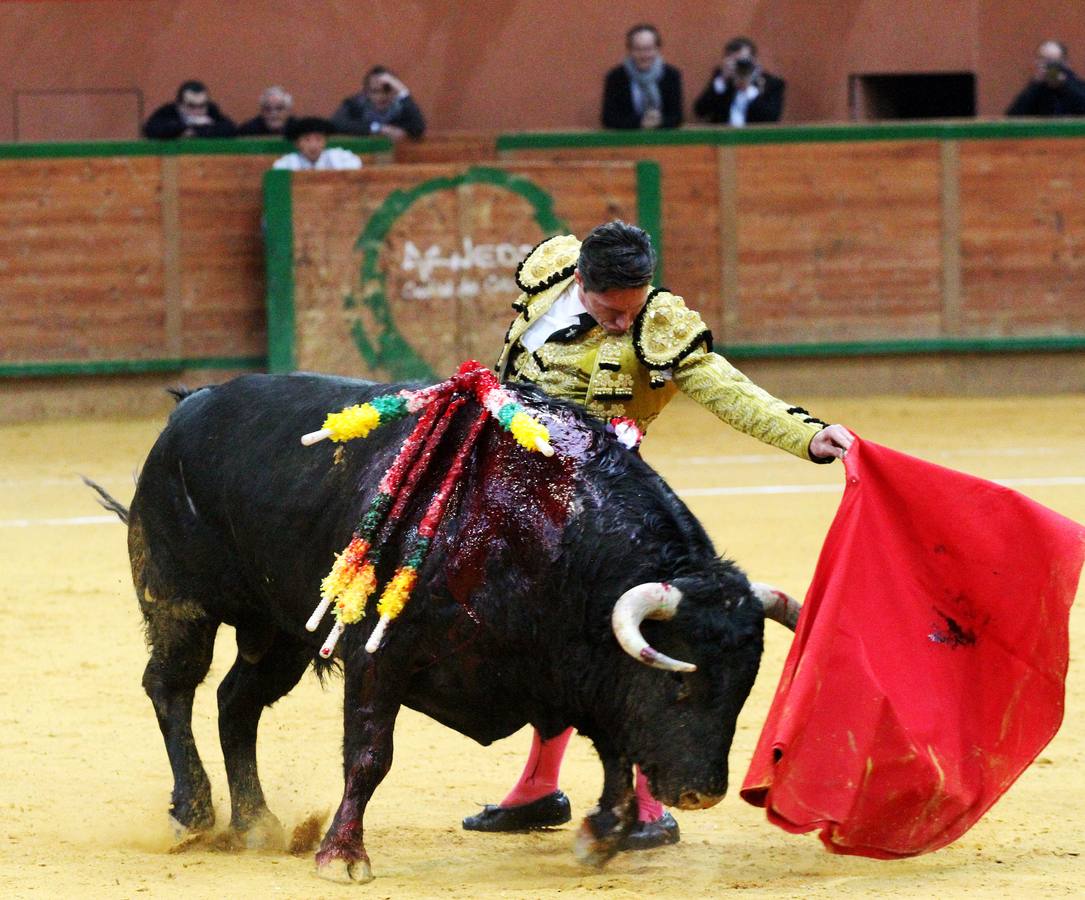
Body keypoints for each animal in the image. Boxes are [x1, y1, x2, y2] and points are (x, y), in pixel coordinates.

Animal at [123, 373, 789, 885]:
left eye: (744, 689)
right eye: (679, 684)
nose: (703, 791)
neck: (543, 533)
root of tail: (193, 402)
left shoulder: (580, 672)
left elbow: (616, 753)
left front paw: (600, 837)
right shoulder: (379, 657)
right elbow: (369, 755)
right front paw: (343, 856)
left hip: (279, 632)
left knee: (236, 702)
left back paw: (256, 824)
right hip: (181, 603)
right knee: (171, 687)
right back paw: (194, 812)